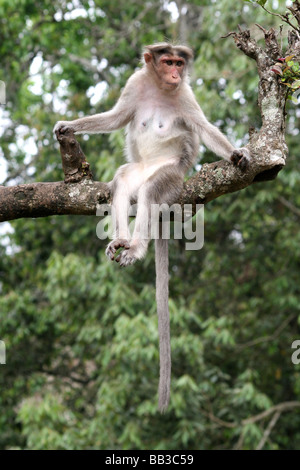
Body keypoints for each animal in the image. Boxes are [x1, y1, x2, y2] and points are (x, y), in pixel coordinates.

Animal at [53, 43, 248, 412]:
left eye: (179, 63)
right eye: (167, 61)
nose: (174, 72)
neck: (160, 89)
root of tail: (153, 168)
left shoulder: (185, 94)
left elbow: (202, 127)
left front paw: (236, 155)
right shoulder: (135, 84)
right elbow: (117, 117)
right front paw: (69, 124)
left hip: (170, 174)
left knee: (151, 193)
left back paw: (137, 247)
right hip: (139, 168)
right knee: (122, 183)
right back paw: (121, 240)